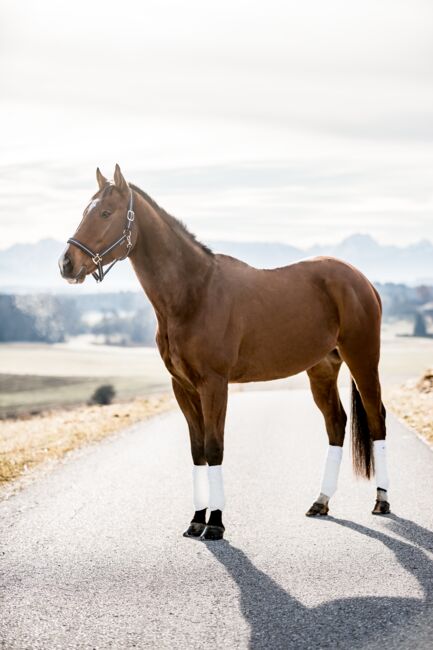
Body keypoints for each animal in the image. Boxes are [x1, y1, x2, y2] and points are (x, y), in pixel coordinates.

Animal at [59, 165, 390, 540]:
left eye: (105, 213)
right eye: (85, 211)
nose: (66, 264)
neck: (194, 293)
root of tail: (361, 280)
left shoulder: (214, 385)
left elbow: (215, 447)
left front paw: (215, 523)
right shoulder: (183, 387)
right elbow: (197, 450)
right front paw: (196, 520)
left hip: (363, 359)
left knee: (376, 418)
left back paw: (382, 501)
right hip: (321, 368)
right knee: (336, 423)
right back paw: (320, 502)